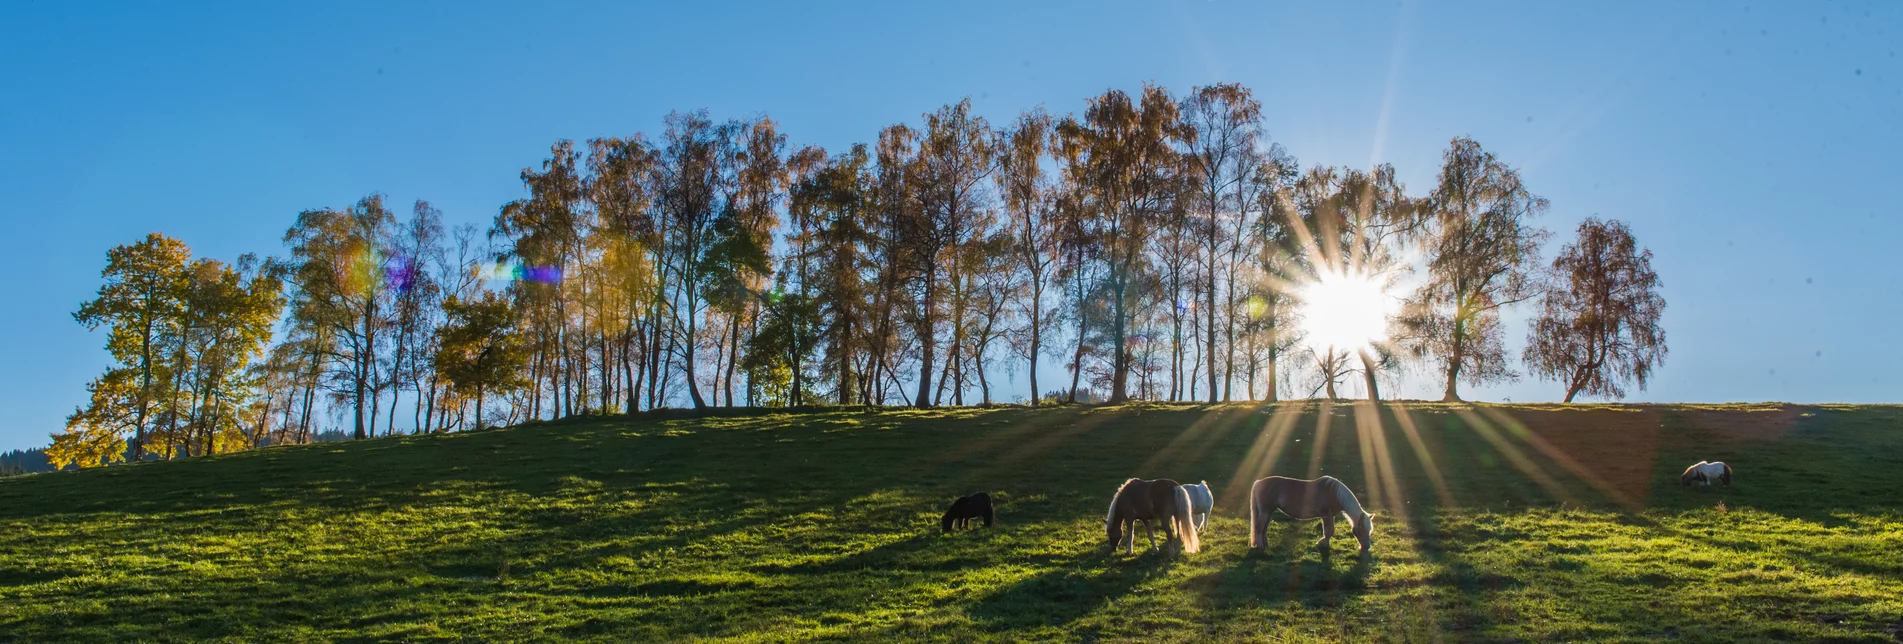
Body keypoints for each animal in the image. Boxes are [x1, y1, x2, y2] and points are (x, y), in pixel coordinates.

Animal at [1240, 476, 1377, 556]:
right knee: (1259, 528)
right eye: (1360, 531)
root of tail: (1259, 482)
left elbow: (1329, 531)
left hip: (1269, 512)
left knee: (1263, 529)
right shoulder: (1326, 515)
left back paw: (1266, 546)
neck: (1334, 493)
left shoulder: (1330, 516)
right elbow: (1329, 531)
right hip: (1265, 511)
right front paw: (1323, 544)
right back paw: (1260, 547)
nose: (1366, 548)